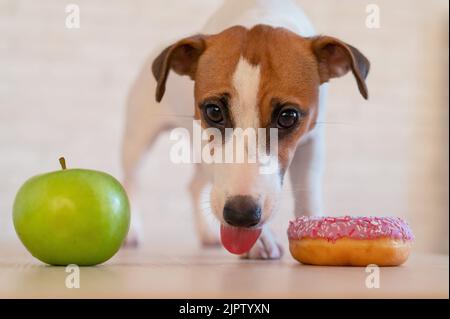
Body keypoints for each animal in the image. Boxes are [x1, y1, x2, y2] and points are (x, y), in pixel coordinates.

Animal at [120, 0, 370, 260]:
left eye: (288, 116)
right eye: (214, 111)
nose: (241, 215)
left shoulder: (311, 142)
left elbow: (308, 193)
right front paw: (260, 241)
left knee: (194, 186)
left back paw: (207, 233)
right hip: (137, 141)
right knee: (132, 179)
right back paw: (132, 230)